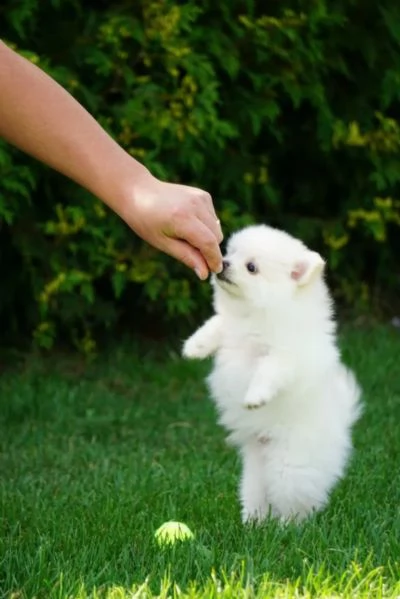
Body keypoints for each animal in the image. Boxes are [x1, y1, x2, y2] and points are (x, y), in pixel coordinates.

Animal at [183, 225, 360, 524]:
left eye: (251, 267)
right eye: (231, 252)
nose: (223, 263)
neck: (253, 314)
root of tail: (341, 427)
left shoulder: (284, 355)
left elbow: (267, 371)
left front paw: (254, 397)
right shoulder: (230, 328)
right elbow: (215, 325)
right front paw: (193, 347)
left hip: (289, 468)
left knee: (295, 502)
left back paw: (288, 526)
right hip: (254, 471)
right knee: (258, 495)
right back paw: (253, 522)